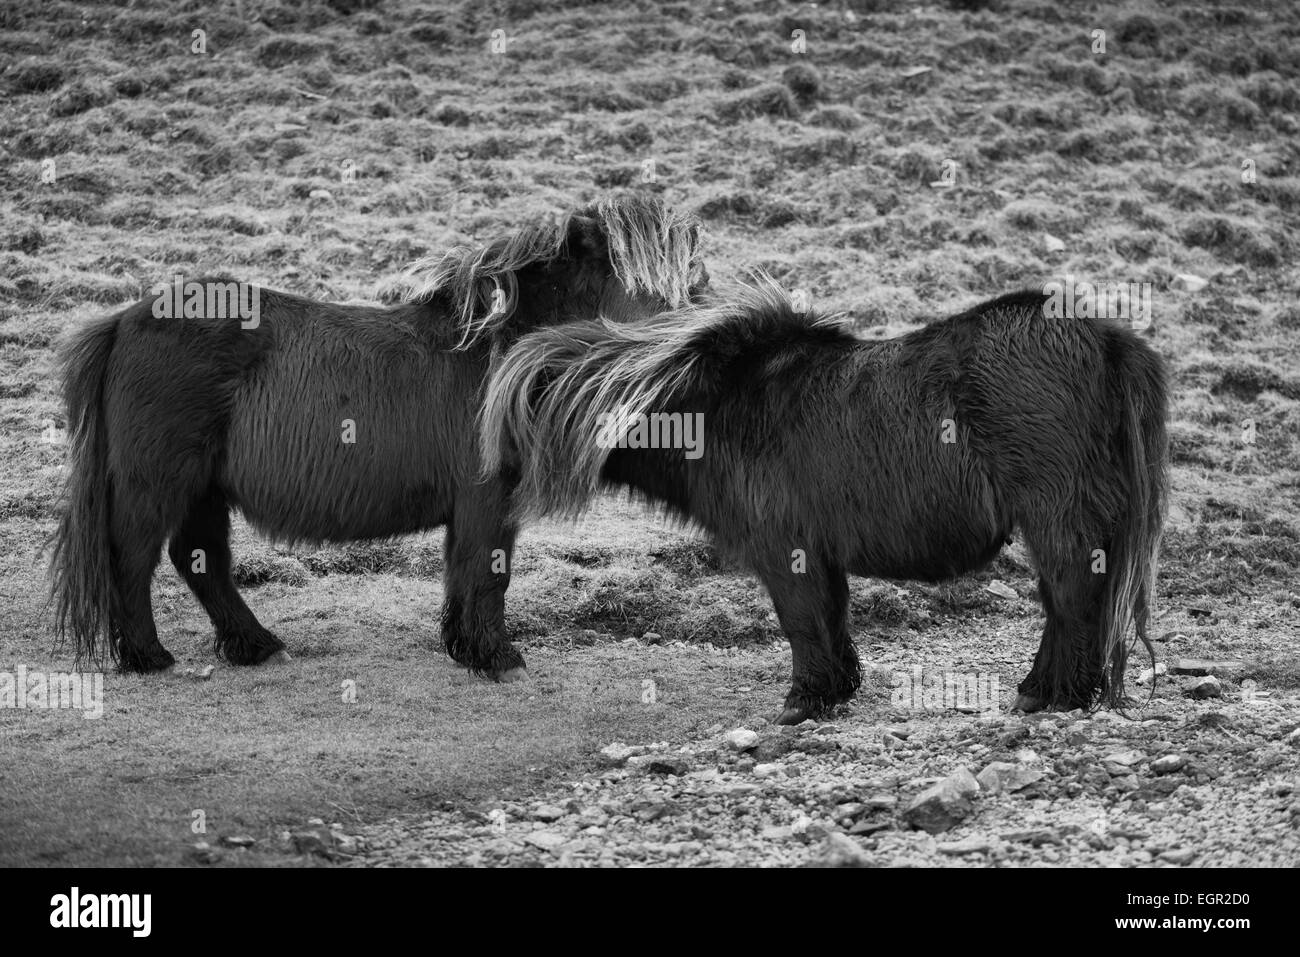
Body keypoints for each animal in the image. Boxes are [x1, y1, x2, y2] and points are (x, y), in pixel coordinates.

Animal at [48, 195, 702, 676]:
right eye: (643, 286)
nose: (685, 350)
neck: (494, 354)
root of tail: (125, 320)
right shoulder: (487, 498)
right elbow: (488, 572)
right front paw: (498, 658)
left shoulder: (475, 506)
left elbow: (463, 570)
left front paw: (464, 647)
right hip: (158, 482)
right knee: (132, 559)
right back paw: (148, 656)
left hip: (202, 489)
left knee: (200, 561)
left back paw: (255, 645)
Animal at [483, 274, 1175, 717]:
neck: (717, 405)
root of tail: (1108, 340)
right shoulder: (820, 551)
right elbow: (832, 618)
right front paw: (836, 691)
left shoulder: (785, 549)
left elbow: (801, 620)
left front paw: (802, 703)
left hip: (1058, 516)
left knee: (1071, 599)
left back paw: (1049, 694)